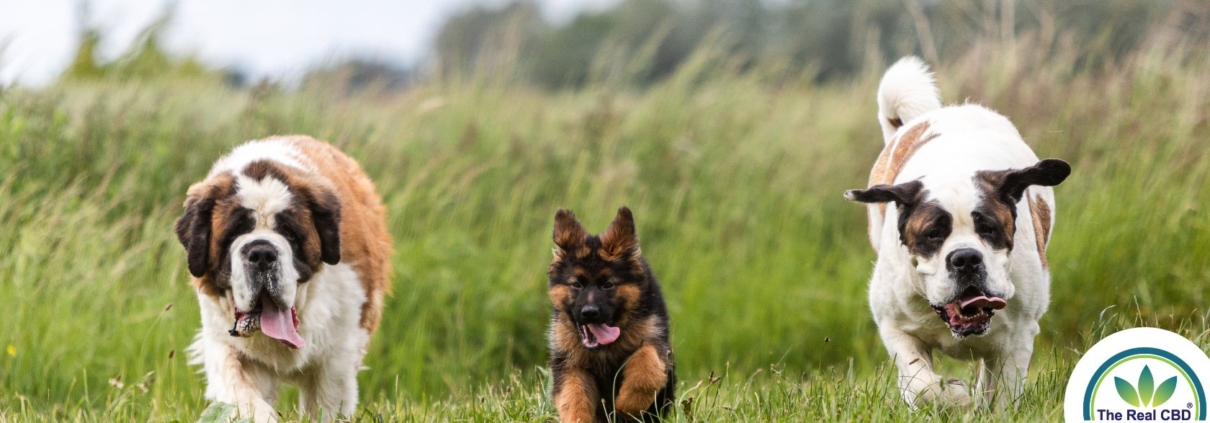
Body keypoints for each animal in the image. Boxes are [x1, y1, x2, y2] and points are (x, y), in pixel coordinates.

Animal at [175, 134, 389, 420]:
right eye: (233, 233)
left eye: (289, 232)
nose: (262, 253)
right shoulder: (224, 342)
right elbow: (242, 392)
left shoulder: (338, 353)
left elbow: (327, 404)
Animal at [546, 206, 672, 420]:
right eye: (576, 284)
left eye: (608, 284)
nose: (589, 313)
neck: (603, 350)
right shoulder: (569, 363)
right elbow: (573, 396)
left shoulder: (655, 338)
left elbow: (647, 364)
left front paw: (628, 404)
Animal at [847, 57, 1074, 408]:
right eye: (932, 235)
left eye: (989, 229)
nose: (966, 258)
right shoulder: (895, 326)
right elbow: (922, 383)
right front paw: (955, 395)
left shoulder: (1019, 335)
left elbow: (1004, 393)